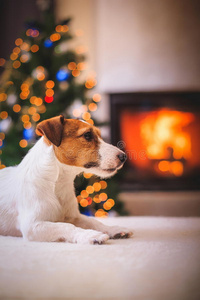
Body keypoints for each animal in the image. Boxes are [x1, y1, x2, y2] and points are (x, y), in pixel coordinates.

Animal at [0, 115, 133, 244]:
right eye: (87, 135)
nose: (124, 157)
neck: (57, 183)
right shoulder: (32, 226)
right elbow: (66, 226)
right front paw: (91, 235)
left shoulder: (74, 216)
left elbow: (93, 221)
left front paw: (113, 229)